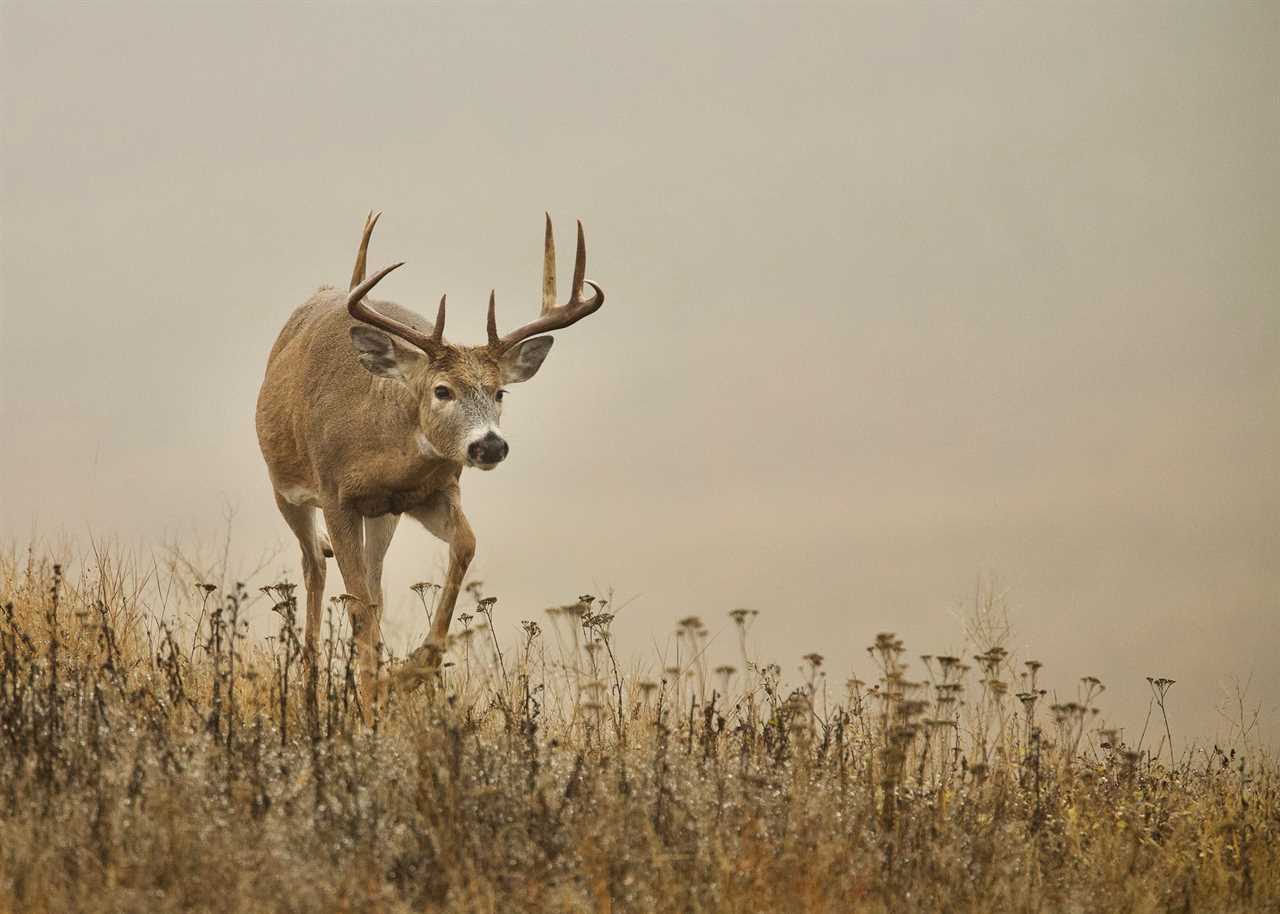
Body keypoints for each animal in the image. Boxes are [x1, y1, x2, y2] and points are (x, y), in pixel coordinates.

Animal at [257, 213, 606, 696]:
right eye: (443, 390)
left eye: (500, 392)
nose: (490, 444)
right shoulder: (334, 494)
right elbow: (356, 602)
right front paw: (371, 692)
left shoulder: (431, 490)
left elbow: (465, 545)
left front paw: (411, 670)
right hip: (284, 489)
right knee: (315, 566)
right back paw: (310, 681)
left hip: (382, 518)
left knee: (374, 585)